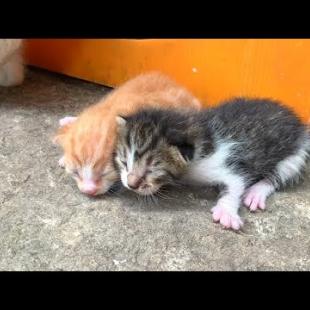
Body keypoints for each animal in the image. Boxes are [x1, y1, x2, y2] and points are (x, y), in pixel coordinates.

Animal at [114, 98, 310, 231]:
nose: (131, 184)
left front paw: (226, 212)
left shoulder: (228, 162)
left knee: (279, 175)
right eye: (124, 162)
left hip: (298, 152)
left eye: (152, 168)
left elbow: (236, 183)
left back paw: (256, 192)